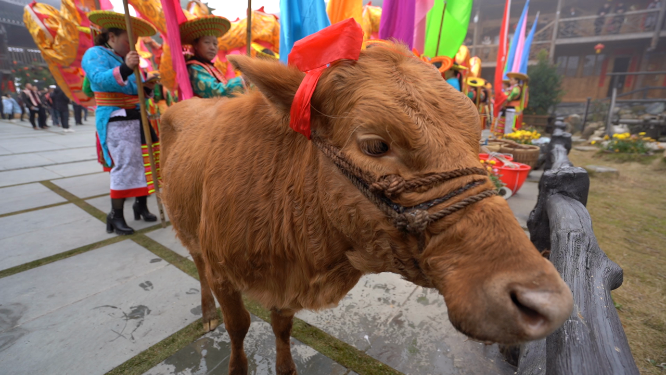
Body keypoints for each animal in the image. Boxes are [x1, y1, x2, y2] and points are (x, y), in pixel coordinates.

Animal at [161, 44, 572, 375]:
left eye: (475, 135)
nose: (546, 301)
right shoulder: (224, 274)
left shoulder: (286, 287)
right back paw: (207, 313)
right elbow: (238, 326)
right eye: (375, 145)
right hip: (189, 232)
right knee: (197, 266)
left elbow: (282, 327)